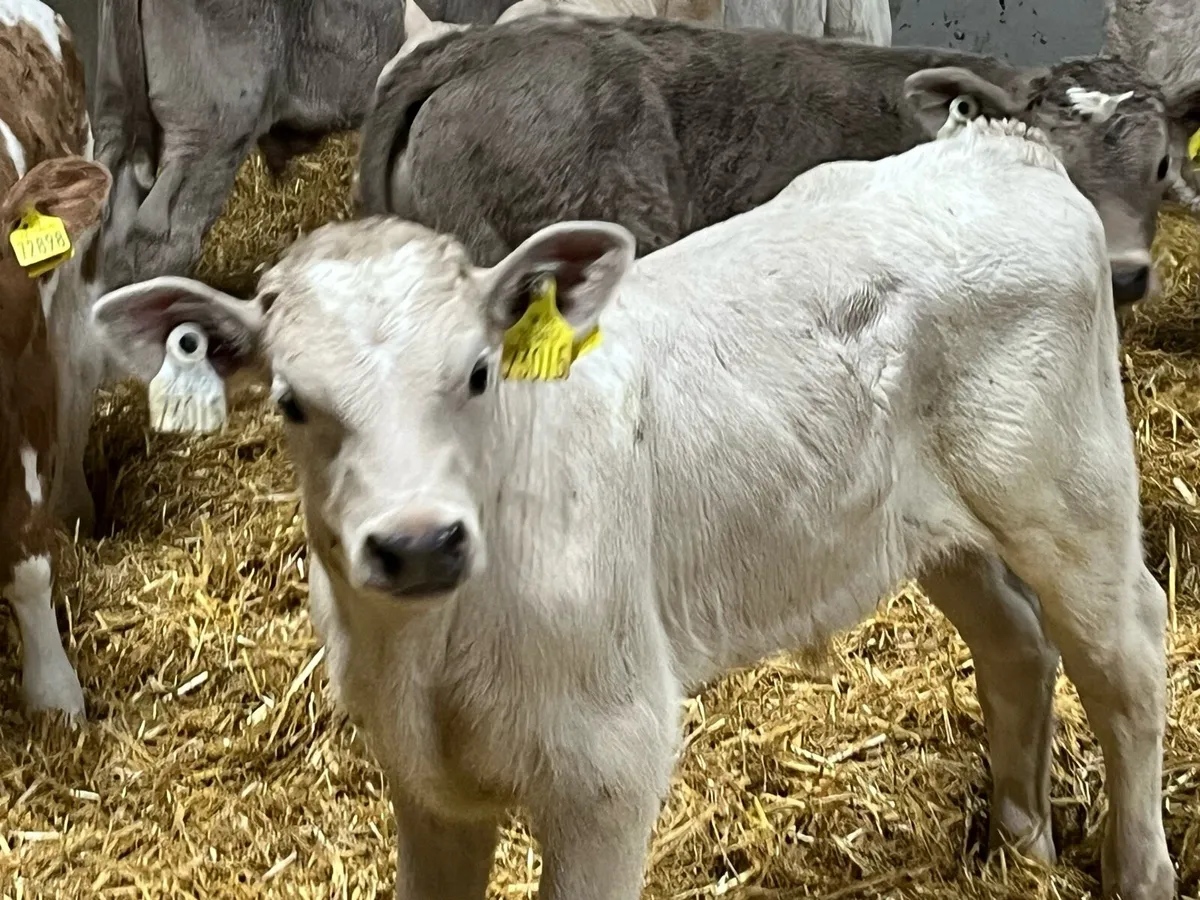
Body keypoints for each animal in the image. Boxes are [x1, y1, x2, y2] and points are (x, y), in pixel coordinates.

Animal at [91, 117, 1172, 899]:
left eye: (478, 372)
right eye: (290, 402)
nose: (418, 542)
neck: (433, 656)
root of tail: (1001, 146)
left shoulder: (609, 762)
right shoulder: (423, 783)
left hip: (1070, 495)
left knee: (1126, 654)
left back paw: (1139, 871)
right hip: (931, 526)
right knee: (1016, 643)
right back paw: (1023, 840)